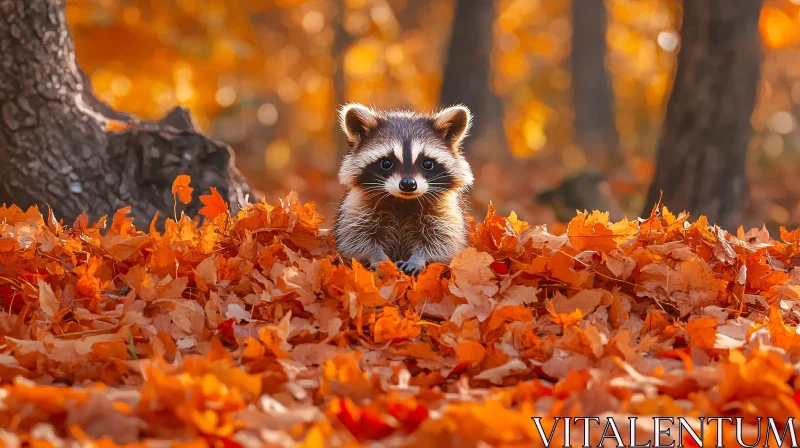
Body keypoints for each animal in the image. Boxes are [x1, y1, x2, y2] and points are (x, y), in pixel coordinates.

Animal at [332, 103, 476, 274]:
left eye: (427, 163)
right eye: (386, 163)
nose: (408, 184)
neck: (402, 201)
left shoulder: (445, 212)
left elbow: (443, 242)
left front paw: (419, 258)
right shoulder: (357, 206)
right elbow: (355, 239)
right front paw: (377, 257)